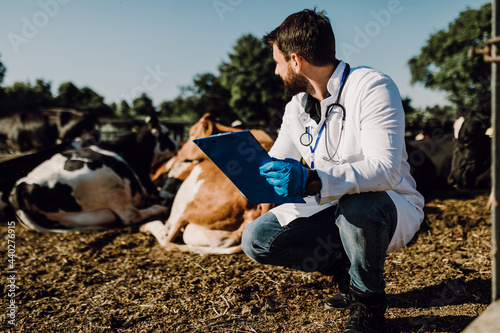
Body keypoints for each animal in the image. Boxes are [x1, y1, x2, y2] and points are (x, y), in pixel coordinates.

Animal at [8, 115, 179, 232]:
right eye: (167, 133)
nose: (178, 145)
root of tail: (23, 183)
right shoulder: (149, 188)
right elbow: (165, 193)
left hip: (78, 218)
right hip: (112, 183)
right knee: (131, 215)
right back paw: (160, 208)